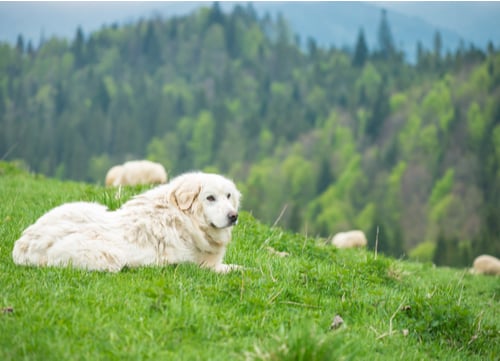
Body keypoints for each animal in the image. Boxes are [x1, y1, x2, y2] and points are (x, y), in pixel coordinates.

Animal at [12, 173, 243, 272]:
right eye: (210, 198)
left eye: (228, 196)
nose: (234, 216)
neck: (184, 218)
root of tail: (23, 245)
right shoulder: (199, 266)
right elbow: (237, 269)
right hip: (109, 257)